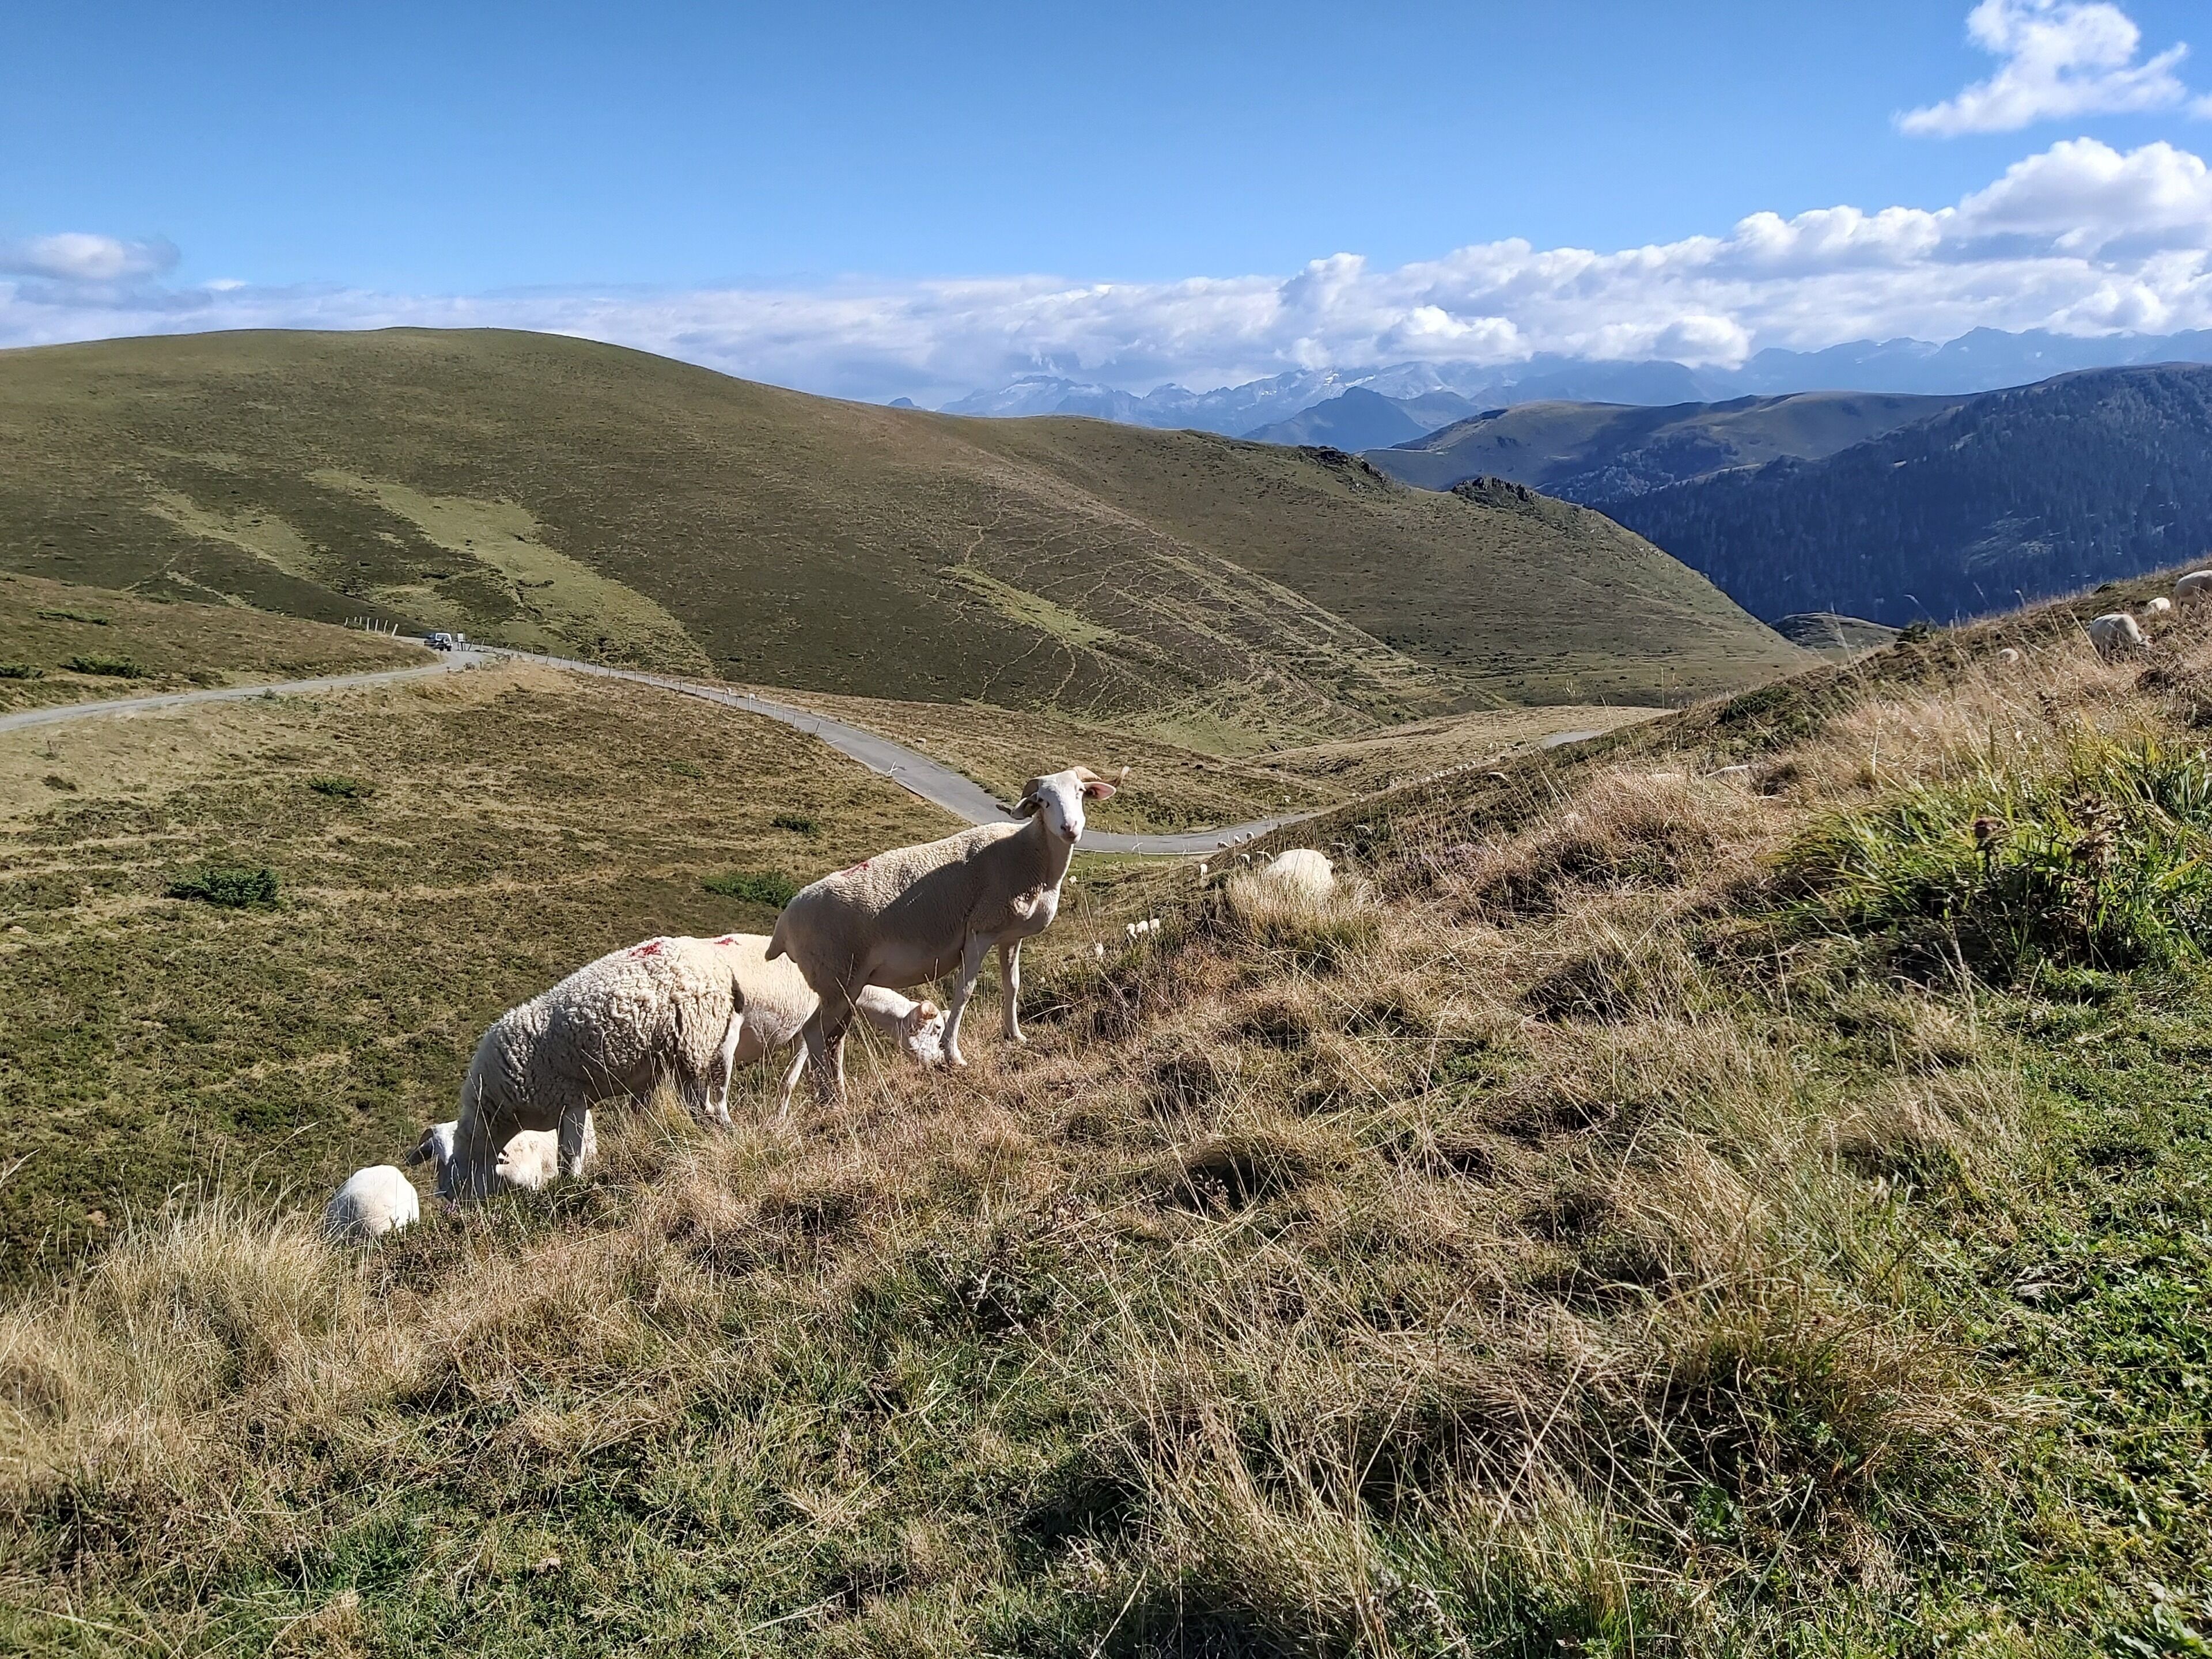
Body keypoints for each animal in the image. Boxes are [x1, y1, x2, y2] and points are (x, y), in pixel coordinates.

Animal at [768, 765, 1117, 1086]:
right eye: (1043, 801)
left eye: (1080, 793)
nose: (1070, 828)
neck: (1030, 855)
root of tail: (783, 925)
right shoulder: (979, 931)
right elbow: (964, 991)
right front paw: (954, 1055)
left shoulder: (1010, 936)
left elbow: (1013, 984)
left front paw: (1015, 1035)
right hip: (833, 977)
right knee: (814, 1034)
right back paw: (829, 1095)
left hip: (846, 985)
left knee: (834, 1038)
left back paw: (836, 1091)